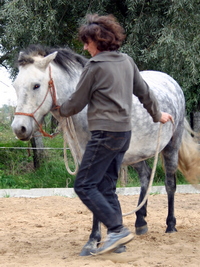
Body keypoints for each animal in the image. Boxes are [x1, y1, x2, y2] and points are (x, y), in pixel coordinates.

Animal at [11, 45, 200, 256]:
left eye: (36, 85)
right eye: (16, 86)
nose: (19, 129)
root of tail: (172, 82)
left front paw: (94, 239)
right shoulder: (84, 159)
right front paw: (101, 238)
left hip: (171, 146)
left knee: (170, 184)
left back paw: (170, 225)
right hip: (136, 156)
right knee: (145, 178)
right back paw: (140, 223)